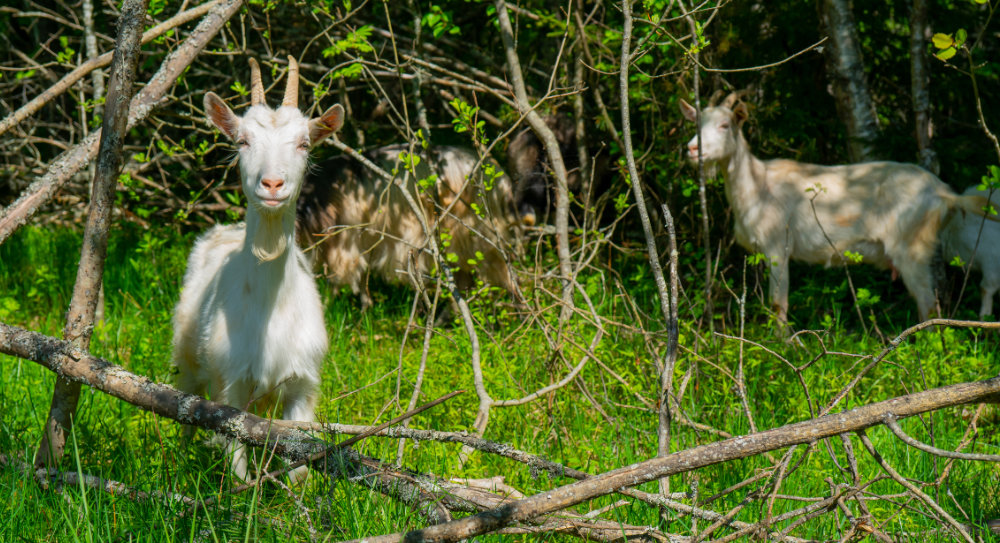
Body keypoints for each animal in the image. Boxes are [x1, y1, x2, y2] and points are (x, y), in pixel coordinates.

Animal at [172, 57, 344, 482]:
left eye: (304, 143)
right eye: (242, 141)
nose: (272, 184)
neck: (272, 310)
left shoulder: (302, 385)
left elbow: (299, 467)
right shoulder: (232, 386)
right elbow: (237, 466)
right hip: (186, 357)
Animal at [294, 144, 516, 308]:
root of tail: (499, 177)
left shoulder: (345, 240)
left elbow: (336, 278)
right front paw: (366, 309)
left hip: (473, 233)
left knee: (502, 271)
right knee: (464, 278)